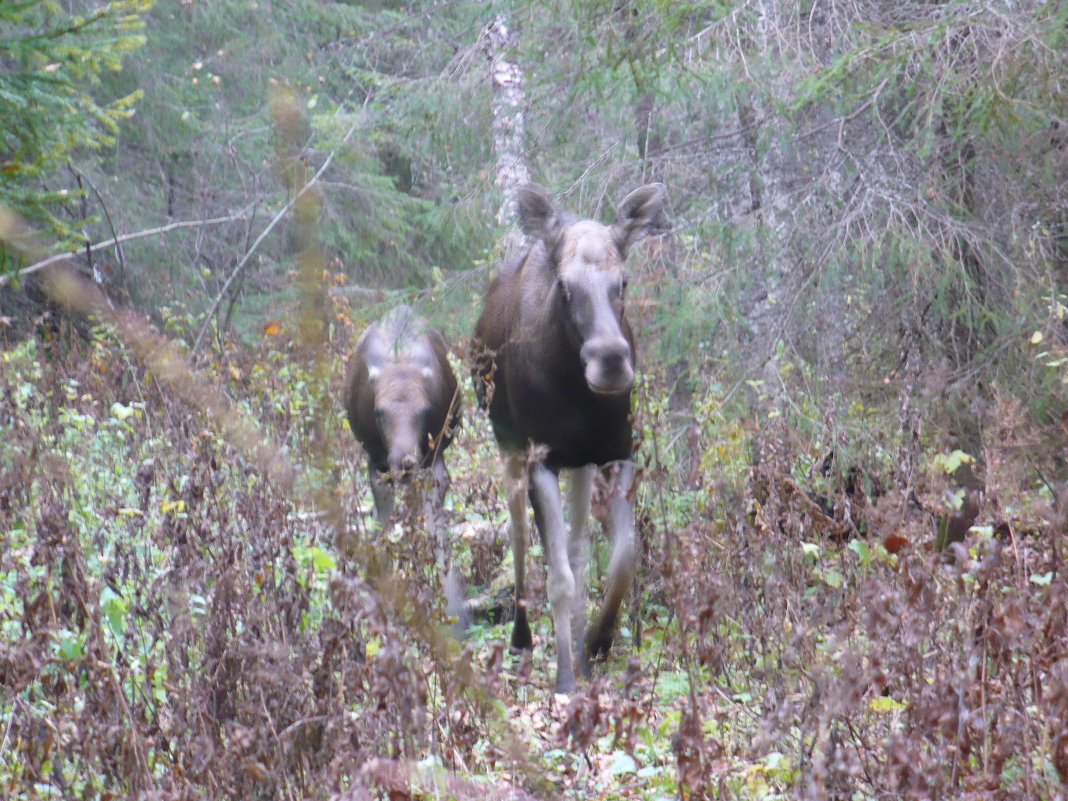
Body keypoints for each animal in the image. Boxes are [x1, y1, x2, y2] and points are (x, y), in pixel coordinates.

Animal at [343, 305, 465, 632]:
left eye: (424, 409)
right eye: (379, 411)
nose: (405, 461)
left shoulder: (433, 457)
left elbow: (434, 524)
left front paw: (451, 601)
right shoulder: (376, 458)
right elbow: (382, 519)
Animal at [472, 180, 662, 692]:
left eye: (623, 281)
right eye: (564, 285)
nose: (611, 362)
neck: (579, 399)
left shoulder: (616, 454)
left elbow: (621, 557)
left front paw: (596, 642)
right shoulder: (543, 458)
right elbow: (557, 577)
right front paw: (563, 678)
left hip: (580, 465)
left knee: (578, 550)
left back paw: (578, 646)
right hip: (509, 445)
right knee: (518, 536)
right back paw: (522, 639)